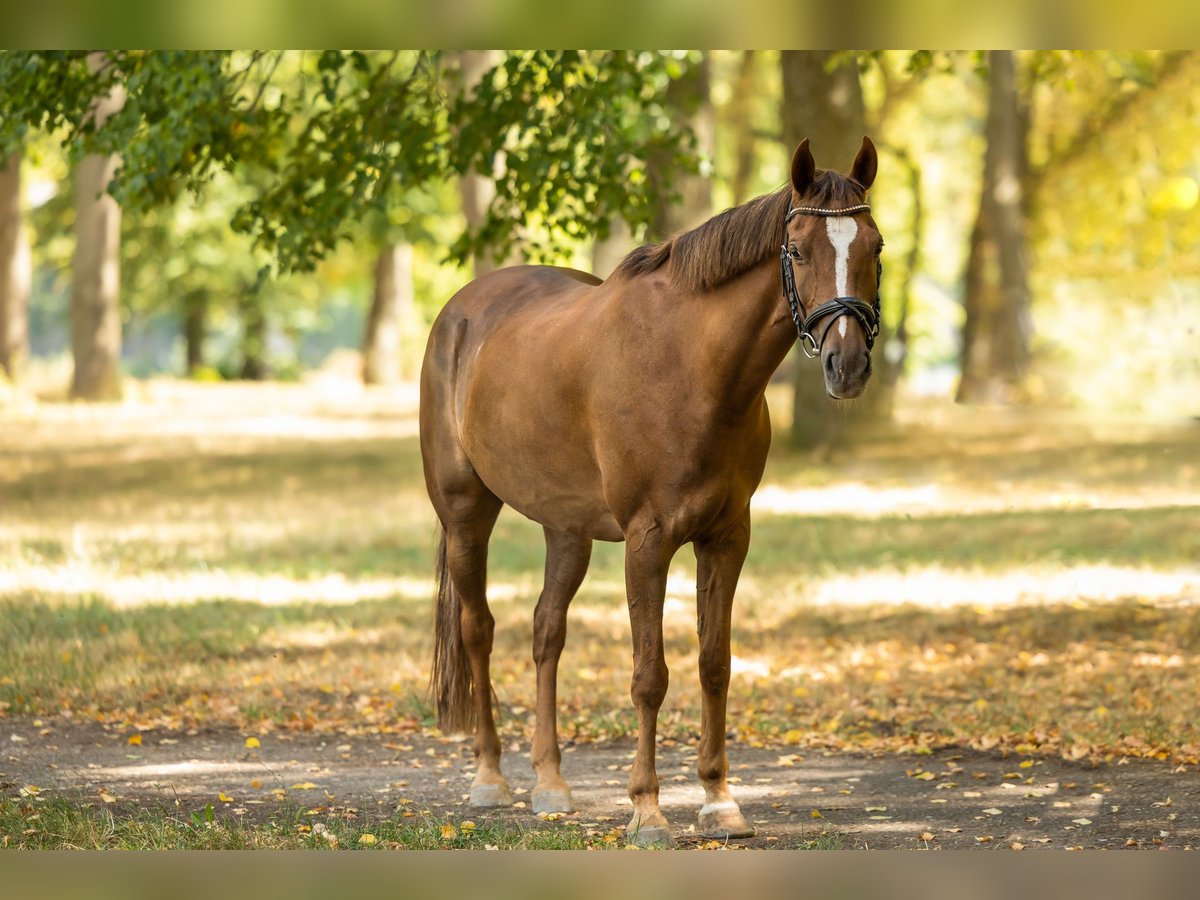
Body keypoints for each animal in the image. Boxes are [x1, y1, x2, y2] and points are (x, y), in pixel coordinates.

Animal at [420, 135, 883, 844]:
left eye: (875, 248)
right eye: (800, 250)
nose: (848, 364)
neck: (692, 367)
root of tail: (461, 311)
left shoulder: (727, 537)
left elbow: (714, 663)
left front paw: (720, 800)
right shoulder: (649, 541)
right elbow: (649, 675)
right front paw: (647, 809)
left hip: (567, 529)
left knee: (546, 632)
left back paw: (551, 783)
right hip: (466, 514)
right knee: (479, 630)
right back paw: (491, 779)